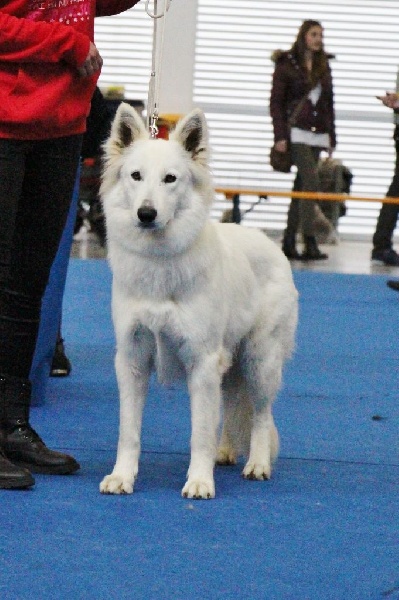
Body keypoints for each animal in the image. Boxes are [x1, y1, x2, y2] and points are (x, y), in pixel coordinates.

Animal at [99, 103, 298, 496]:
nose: (146, 214)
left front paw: (199, 481)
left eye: (170, 179)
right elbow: (129, 431)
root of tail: (270, 243)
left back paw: (257, 464)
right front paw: (122, 476)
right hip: (232, 366)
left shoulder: (202, 362)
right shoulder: (132, 359)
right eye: (136, 176)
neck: (160, 262)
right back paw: (225, 452)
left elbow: (199, 433)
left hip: (260, 361)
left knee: (260, 415)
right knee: (232, 405)